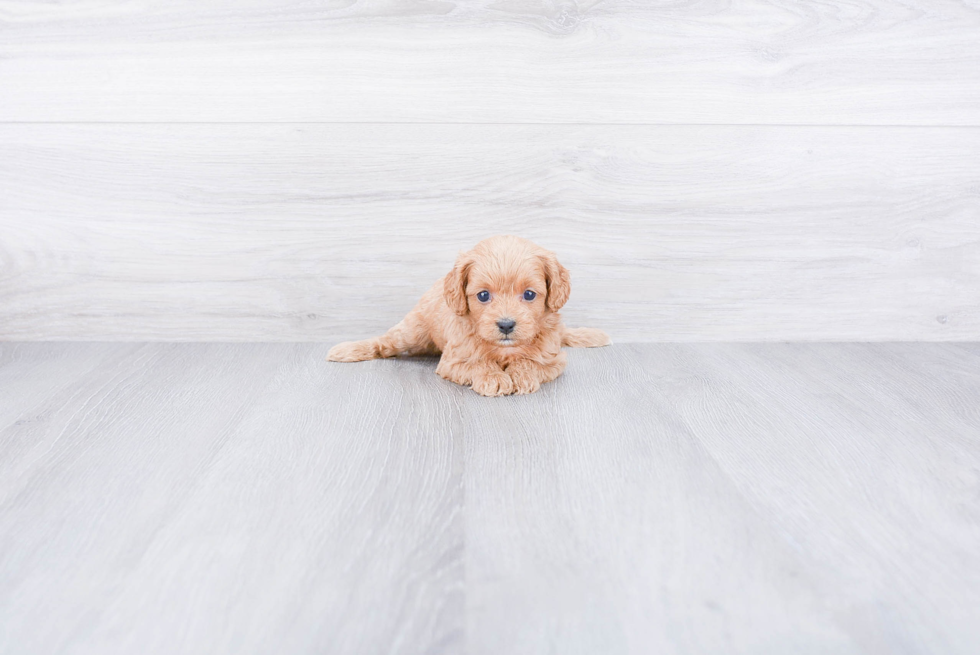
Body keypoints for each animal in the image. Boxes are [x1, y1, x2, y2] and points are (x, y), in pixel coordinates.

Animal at [326, 237, 608, 398]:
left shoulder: (553, 359)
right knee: (384, 342)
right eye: (483, 295)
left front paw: (521, 375)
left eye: (529, 294)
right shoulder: (454, 360)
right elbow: (478, 364)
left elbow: (530, 362)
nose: (506, 325)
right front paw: (494, 378)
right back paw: (348, 349)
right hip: (412, 333)